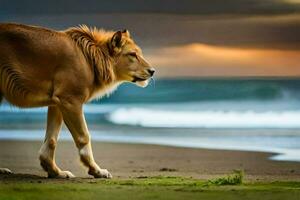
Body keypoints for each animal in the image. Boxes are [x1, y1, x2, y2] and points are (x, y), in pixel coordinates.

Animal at [0, 23, 155, 178]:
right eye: (132, 54)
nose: (152, 71)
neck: (90, 59)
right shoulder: (70, 100)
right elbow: (83, 137)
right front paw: (96, 171)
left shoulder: (57, 102)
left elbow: (51, 139)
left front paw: (56, 172)